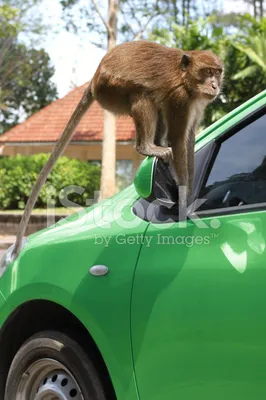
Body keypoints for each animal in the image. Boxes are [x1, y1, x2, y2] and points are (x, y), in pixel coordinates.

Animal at [13, 40, 224, 258]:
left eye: (217, 72)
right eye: (207, 72)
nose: (215, 85)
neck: (186, 80)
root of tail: (96, 75)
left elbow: (188, 139)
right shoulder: (180, 99)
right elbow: (178, 139)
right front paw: (184, 202)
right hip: (112, 88)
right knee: (143, 96)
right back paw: (146, 147)